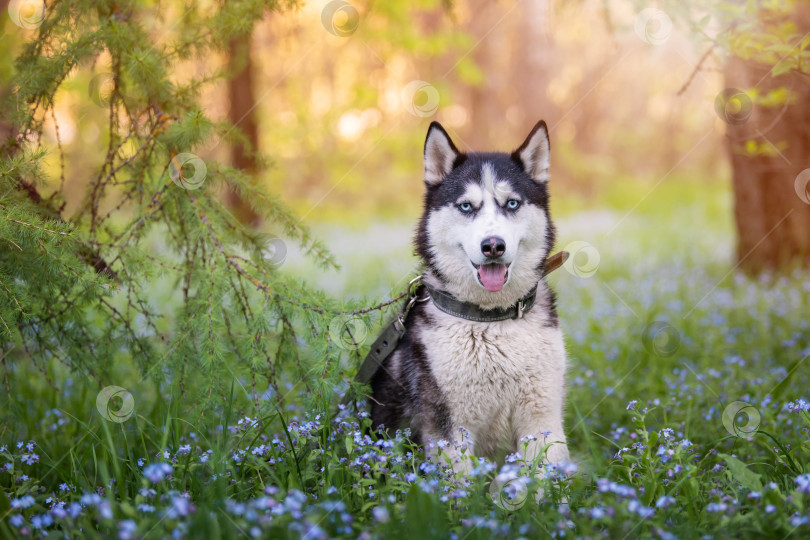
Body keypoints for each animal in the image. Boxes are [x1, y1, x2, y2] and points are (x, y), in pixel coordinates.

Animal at [368, 121, 568, 468]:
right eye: (466, 206)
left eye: (511, 203)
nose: (493, 246)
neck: (493, 321)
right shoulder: (449, 428)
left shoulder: (542, 418)